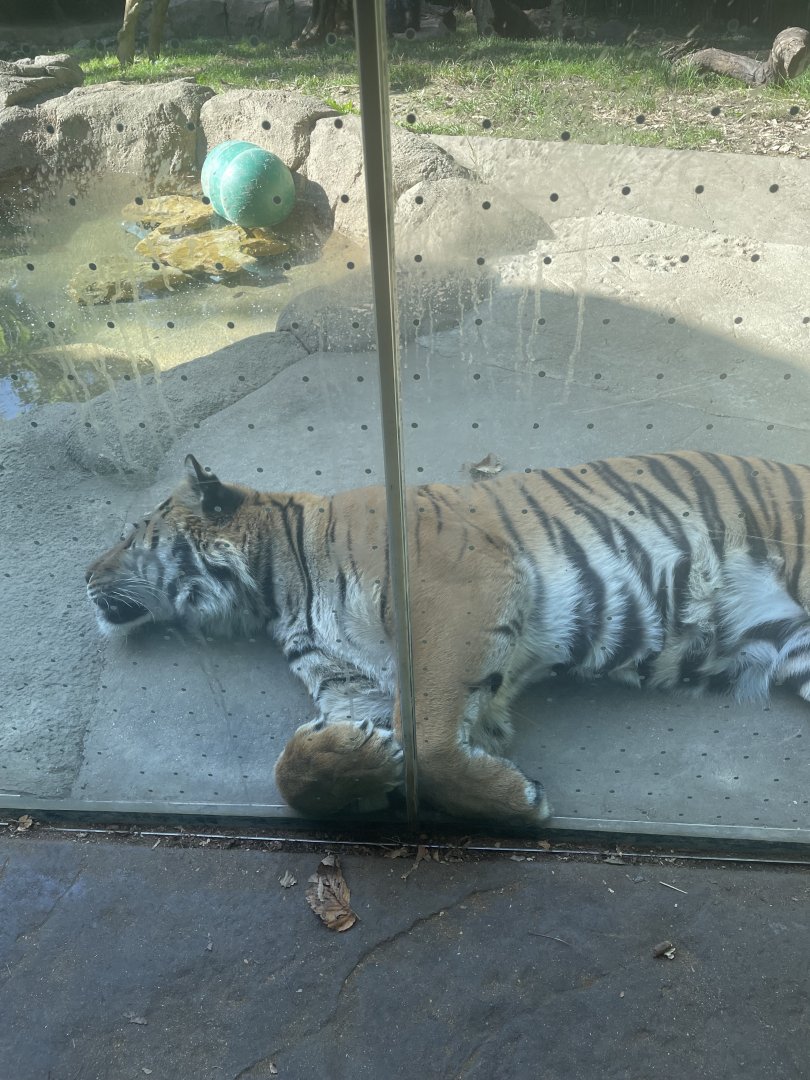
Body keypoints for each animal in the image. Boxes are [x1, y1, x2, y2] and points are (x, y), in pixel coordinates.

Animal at [86, 450, 810, 827]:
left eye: (128, 538)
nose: (84, 575)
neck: (279, 591)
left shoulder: (456, 588)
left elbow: (429, 736)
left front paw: (514, 799)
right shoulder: (352, 685)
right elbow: (294, 771)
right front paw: (359, 760)